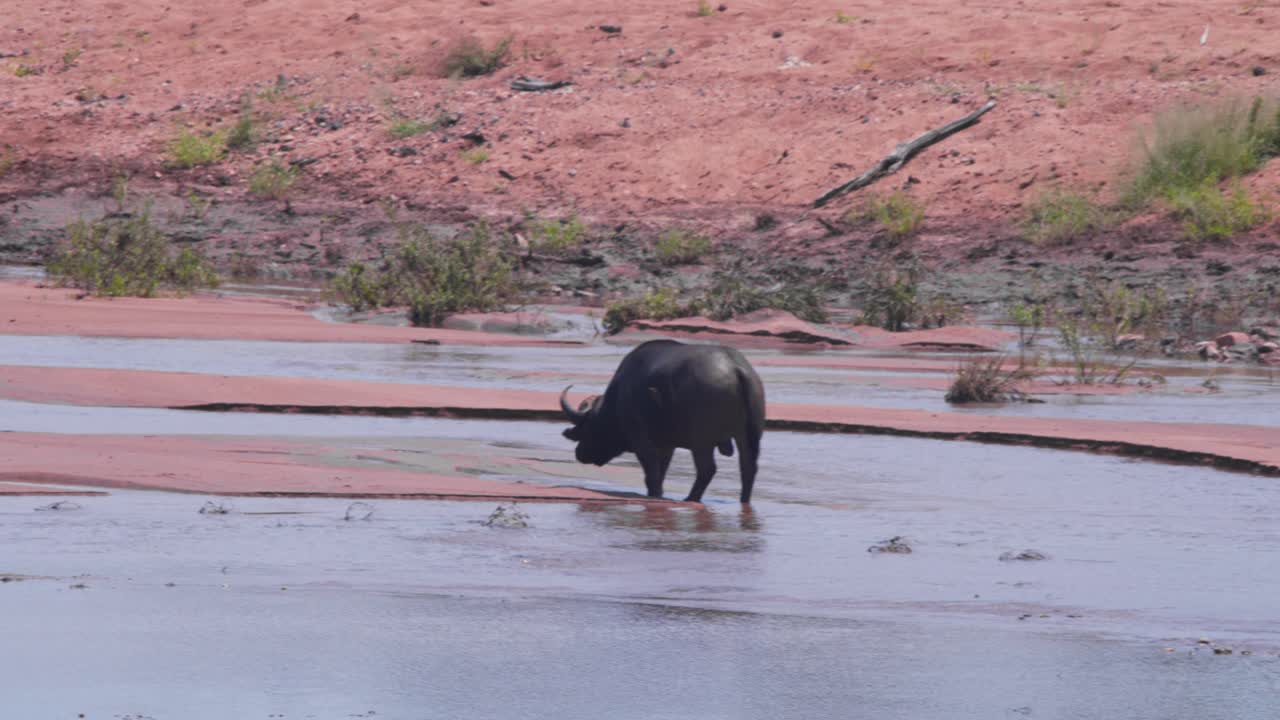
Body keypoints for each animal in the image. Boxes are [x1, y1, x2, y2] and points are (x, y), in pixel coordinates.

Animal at [558, 339, 765, 503]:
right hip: (749, 437)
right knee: (748, 468)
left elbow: (652, 472)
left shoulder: (641, 440)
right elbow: (662, 470)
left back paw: (691, 498)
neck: (618, 397)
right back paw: (743, 500)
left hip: (701, 441)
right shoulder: (667, 445)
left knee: (707, 469)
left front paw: (655, 494)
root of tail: (735, 368)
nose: (579, 453)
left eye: (588, 426)